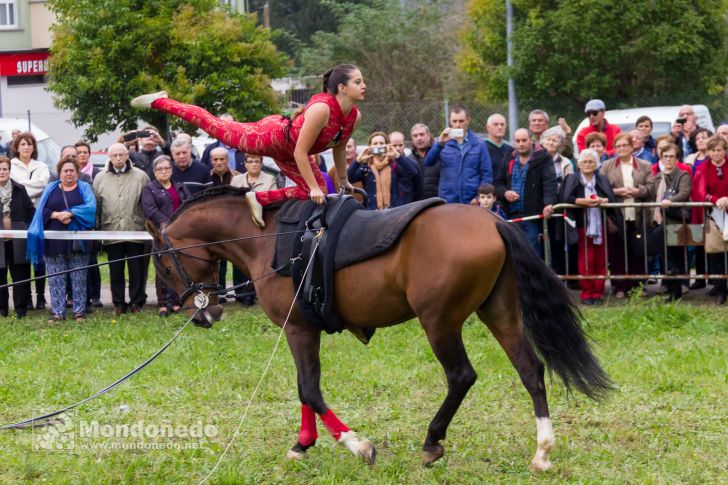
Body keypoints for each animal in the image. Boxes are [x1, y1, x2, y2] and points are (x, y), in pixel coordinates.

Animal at [146, 187, 608, 470]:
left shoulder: (298, 329)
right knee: (531, 370)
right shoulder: (303, 330)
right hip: (499, 312)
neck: (268, 237)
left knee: (461, 376)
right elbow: (303, 389)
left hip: (439, 321)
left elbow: (310, 389)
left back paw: (432, 440)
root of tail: (494, 221)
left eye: (165, 265)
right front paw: (302, 443)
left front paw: (357, 444)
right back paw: (542, 450)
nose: (203, 315)